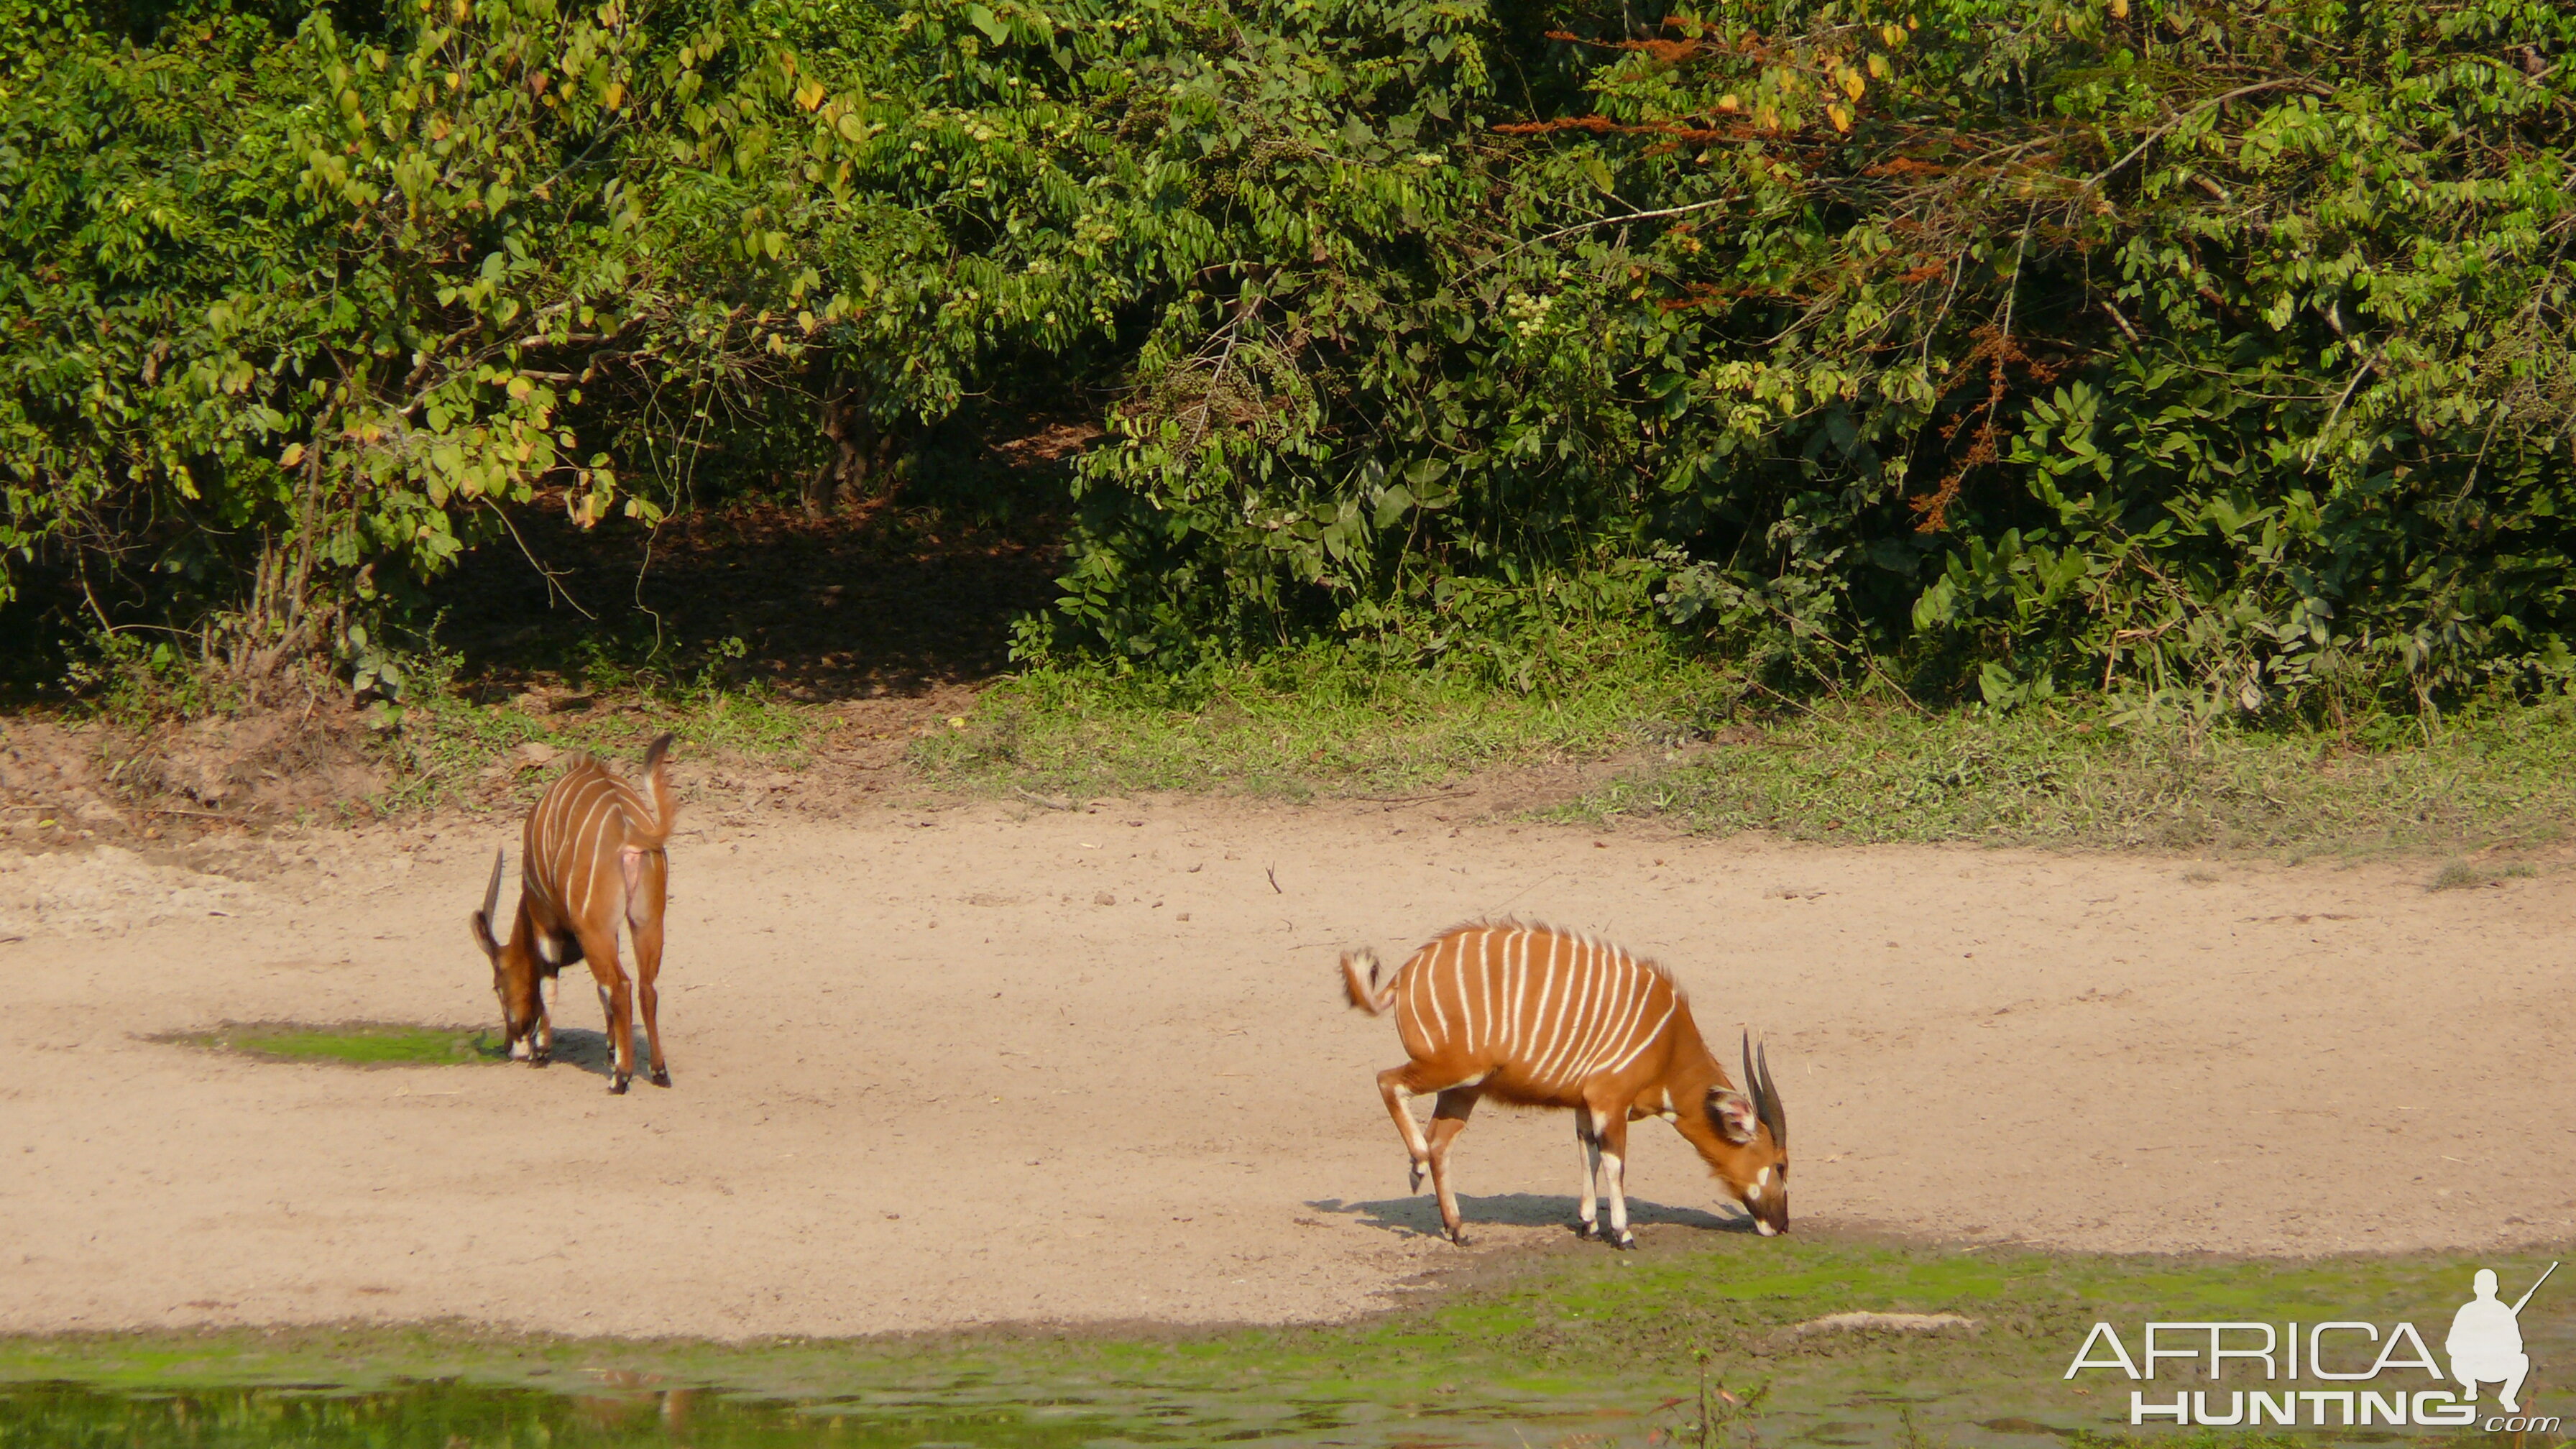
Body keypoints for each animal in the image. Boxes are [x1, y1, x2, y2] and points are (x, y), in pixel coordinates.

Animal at [471, 727, 680, 1087]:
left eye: (497, 985)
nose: (510, 1047)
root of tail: (632, 831)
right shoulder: (612, 930)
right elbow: (600, 991)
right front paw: (611, 1049)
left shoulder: (544, 920)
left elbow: (548, 983)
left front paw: (542, 1052)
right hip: (646, 922)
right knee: (644, 987)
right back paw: (658, 1071)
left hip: (594, 928)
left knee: (621, 986)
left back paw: (621, 1078)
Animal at [1350, 923, 1793, 1243]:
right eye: (1781, 1165)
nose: (1782, 1224)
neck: (1667, 1042)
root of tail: (1403, 978)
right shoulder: (1609, 1102)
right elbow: (1614, 1162)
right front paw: (1622, 1232)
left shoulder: (1585, 1106)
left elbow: (1588, 1155)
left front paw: (1589, 1224)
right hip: (1453, 1071)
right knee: (1389, 1084)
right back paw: (1417, 1165)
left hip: (1463, 1089)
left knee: (1441, 1143)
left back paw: (1457, 1229)